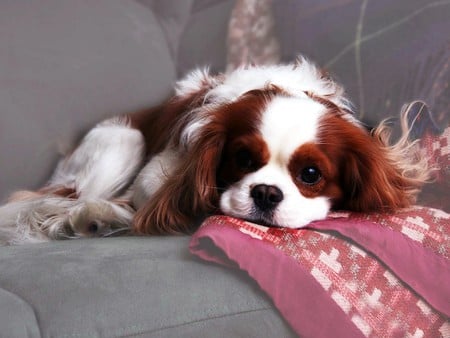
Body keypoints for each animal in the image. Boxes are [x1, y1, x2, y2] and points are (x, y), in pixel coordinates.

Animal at [0, 56, 428, 244]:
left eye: (311, 174)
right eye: (242, 159)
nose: (266, 193)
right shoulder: (160, 168)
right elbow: (149, 197)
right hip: (123, 141)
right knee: (72, 200)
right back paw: (88, 218)